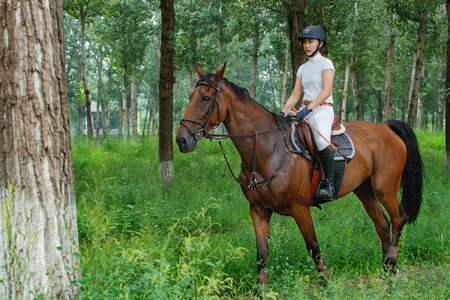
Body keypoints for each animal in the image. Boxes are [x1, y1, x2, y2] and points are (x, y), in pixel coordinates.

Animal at [175, 65, 422, 286]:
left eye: (206, 98)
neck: (267, 148)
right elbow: (261, 254)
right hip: (365, 190)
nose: (182, 140)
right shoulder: (258, 210)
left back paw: (392, 261)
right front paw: (261, 290)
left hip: (385, 188)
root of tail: (386, 127)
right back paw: (387, 269)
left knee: (398, 219)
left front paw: (325, 282)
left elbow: (313, 247)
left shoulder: (300, 209)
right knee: (382, 225)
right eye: (190, 96)